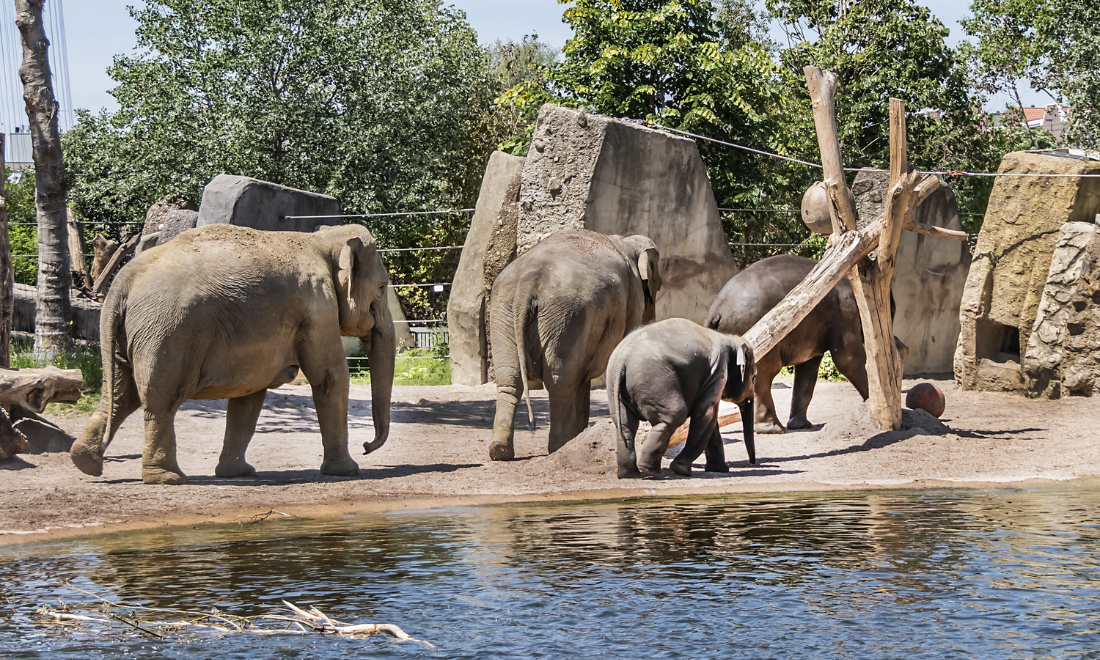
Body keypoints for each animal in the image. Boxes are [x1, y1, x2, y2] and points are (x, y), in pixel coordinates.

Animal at [69, 223, 396, 484]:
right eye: (382, 288)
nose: (367, 446)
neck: (322, 240)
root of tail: (122, 281)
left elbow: (250, 393)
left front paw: (238, 473)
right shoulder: (318, 305)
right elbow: (329, 378)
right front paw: (348, 471)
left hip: (132, 333)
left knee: (119, 394)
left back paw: (85, 462)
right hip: (166, 333)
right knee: (159, 400)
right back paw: (168, 479)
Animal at [490, 226, 660, 459]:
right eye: (658, 285)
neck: (625, 241)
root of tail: (527, 281)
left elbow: (583, 377)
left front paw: (581, 434)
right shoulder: (632, 300)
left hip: (503, 313)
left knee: (510, 378)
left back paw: (500, 450)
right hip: (568, 317)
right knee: (560, 381)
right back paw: (559, 446)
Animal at [602, 316, 756, 477]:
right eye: (754, 378)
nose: (752, 462)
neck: (729, 339)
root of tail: (623, 358)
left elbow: (711, 419)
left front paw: (719, 469)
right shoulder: (717, 373)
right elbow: (705, 413)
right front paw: (682, 469)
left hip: (615, 385)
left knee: (625, 424)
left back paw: (630, 474)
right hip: (655, 380)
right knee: (674, 415)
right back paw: (650, 470)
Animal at [708, 255, 880, 435]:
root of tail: (717, 309)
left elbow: (808, 370)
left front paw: (801, 425)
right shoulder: (845, 311)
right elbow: (847, 359)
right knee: (764, 372)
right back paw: (772, 428)